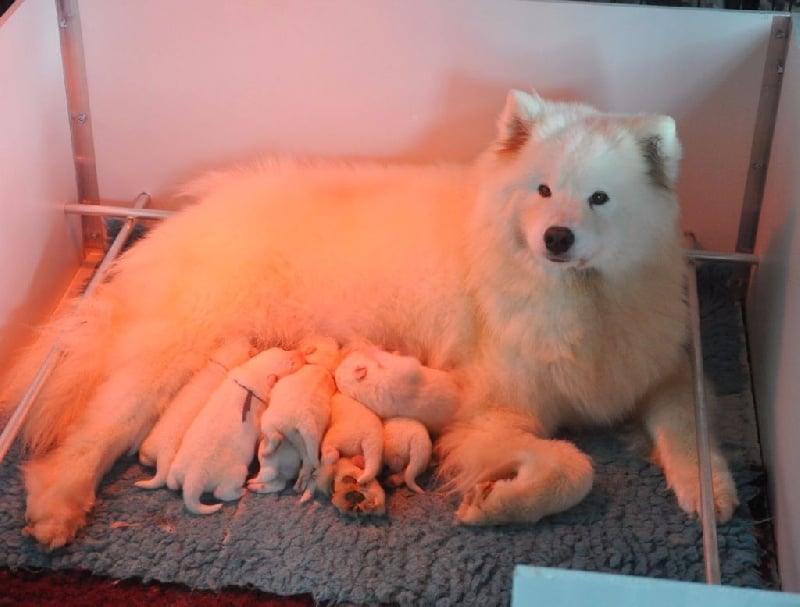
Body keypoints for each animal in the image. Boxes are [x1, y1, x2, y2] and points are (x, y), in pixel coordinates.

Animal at [4, 90, 736, 552]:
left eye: (600, 198)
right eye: (544, 189)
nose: (557, 237)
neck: (580, 298)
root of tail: (180, 220)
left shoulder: (656, 363)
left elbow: (687, 415)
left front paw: (710, 489)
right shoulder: (488, 413)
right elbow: (574, 469)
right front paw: (498, 501)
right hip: (170, 357)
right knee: (90, 433)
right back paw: (56, 506)